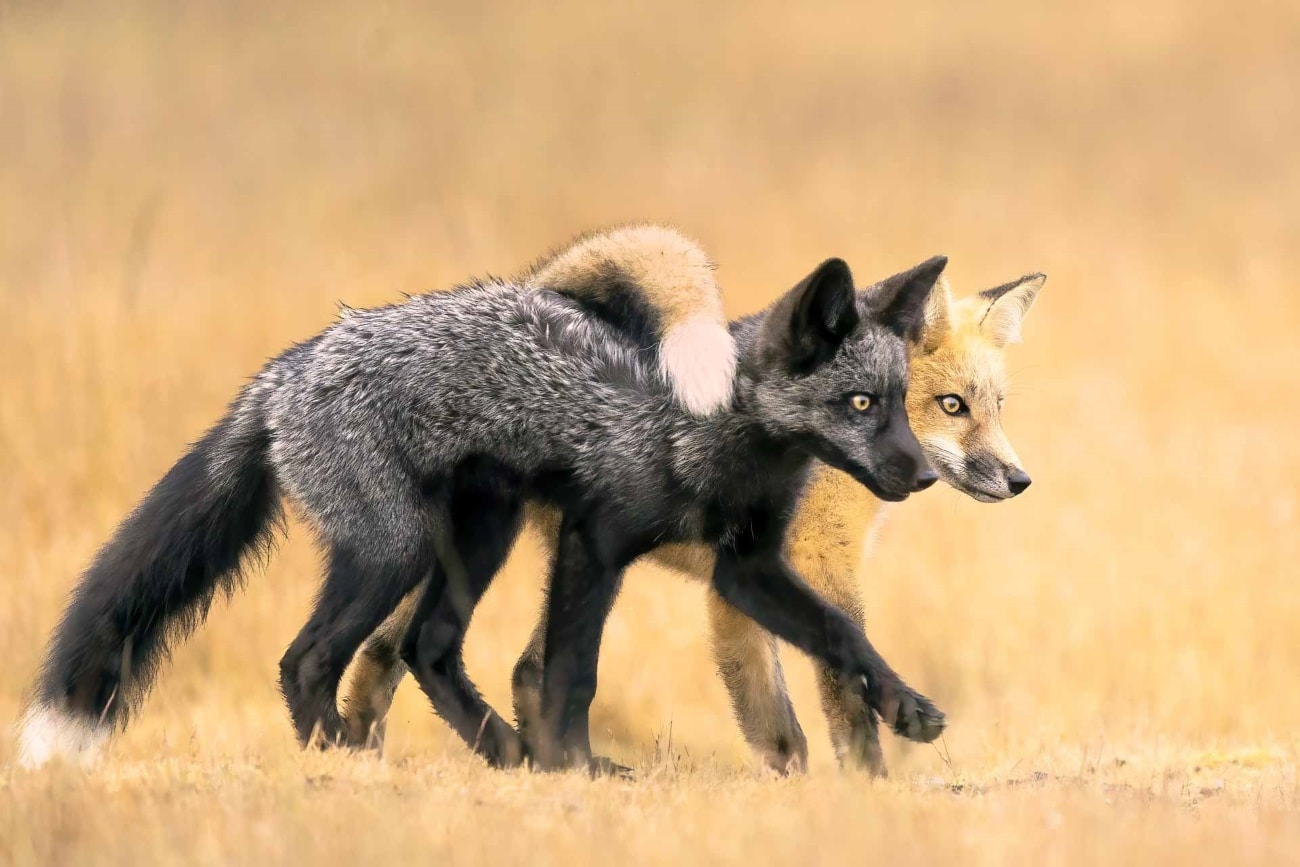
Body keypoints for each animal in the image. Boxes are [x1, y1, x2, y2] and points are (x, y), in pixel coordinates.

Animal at [15, 226, 1040, 779]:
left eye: (904, 402)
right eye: (865, 405)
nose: (916, 475)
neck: (712, 439)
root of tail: (286, 369)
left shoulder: (746, 568)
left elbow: (843, 639)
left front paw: (907, 710)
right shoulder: (599, 541)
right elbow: (573, 672)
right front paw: (577, 767)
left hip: (479, 539)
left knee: (429, 650)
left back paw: (502, 755)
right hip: (393, 551)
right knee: (309, 659)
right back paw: (342, 756)